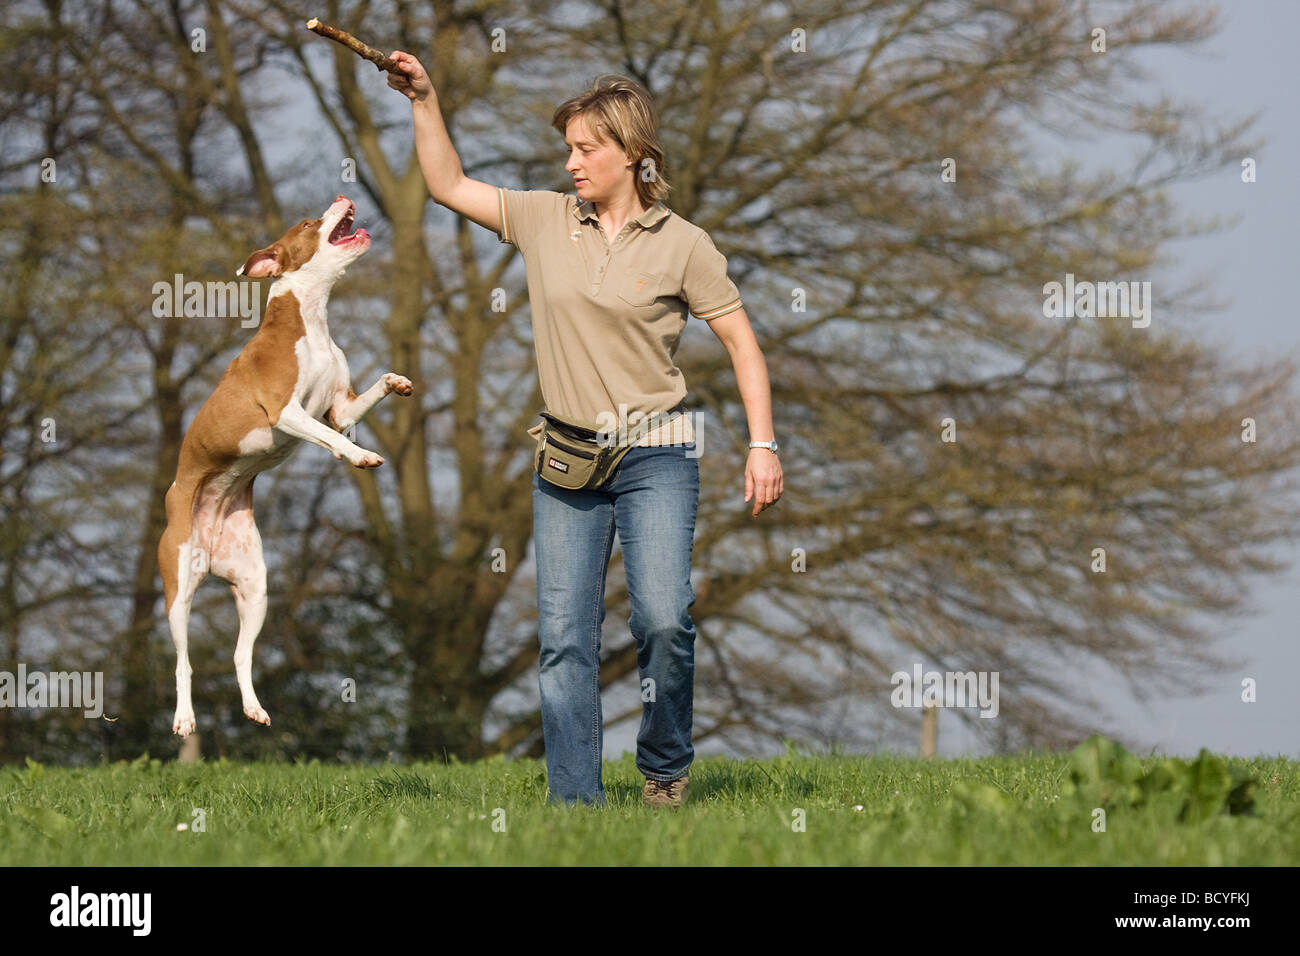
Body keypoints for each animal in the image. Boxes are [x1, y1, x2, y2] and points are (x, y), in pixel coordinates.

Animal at [158, 196, 410, 738]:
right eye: (308, 223)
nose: (342, 198)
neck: (311, 318)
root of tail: (209, 551)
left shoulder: (341, 407)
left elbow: (361, 401)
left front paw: (396, 381)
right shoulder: (286, 413)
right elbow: (329, 437)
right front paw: (359, 455)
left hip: (255, 587)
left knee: (240, 655)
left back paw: (255, 708)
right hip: (178, 590)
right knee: (183, 662)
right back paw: (185, 719)